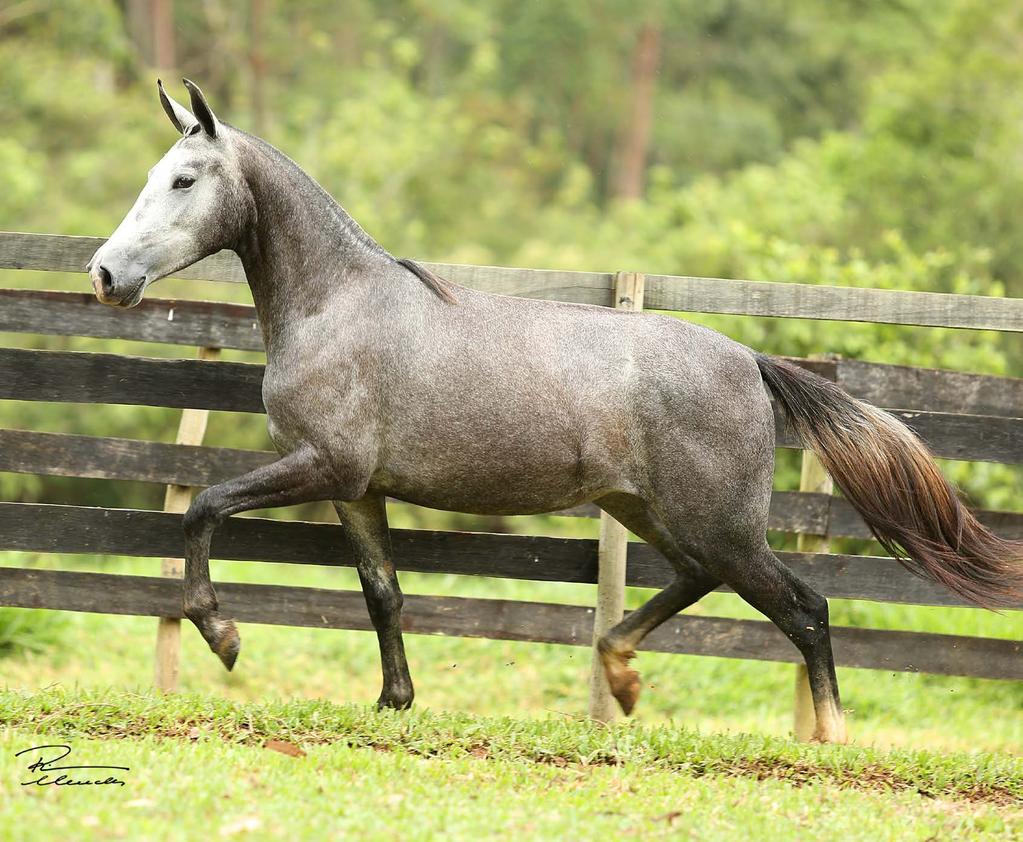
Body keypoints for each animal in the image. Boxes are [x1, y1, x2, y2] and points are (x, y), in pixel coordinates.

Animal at [90, 82, 1023, 744]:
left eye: (183, 179)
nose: (104, 274)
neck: (337, 305)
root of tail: (749, 362)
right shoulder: (357, 489)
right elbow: (382, 592)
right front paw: (394, 703)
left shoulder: (324, 466)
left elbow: (205, 508)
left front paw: (223, 636)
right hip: (653, 511)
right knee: (698, 582)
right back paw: (621, 676)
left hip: (719, 522)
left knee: (805, 608)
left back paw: (825, 739)